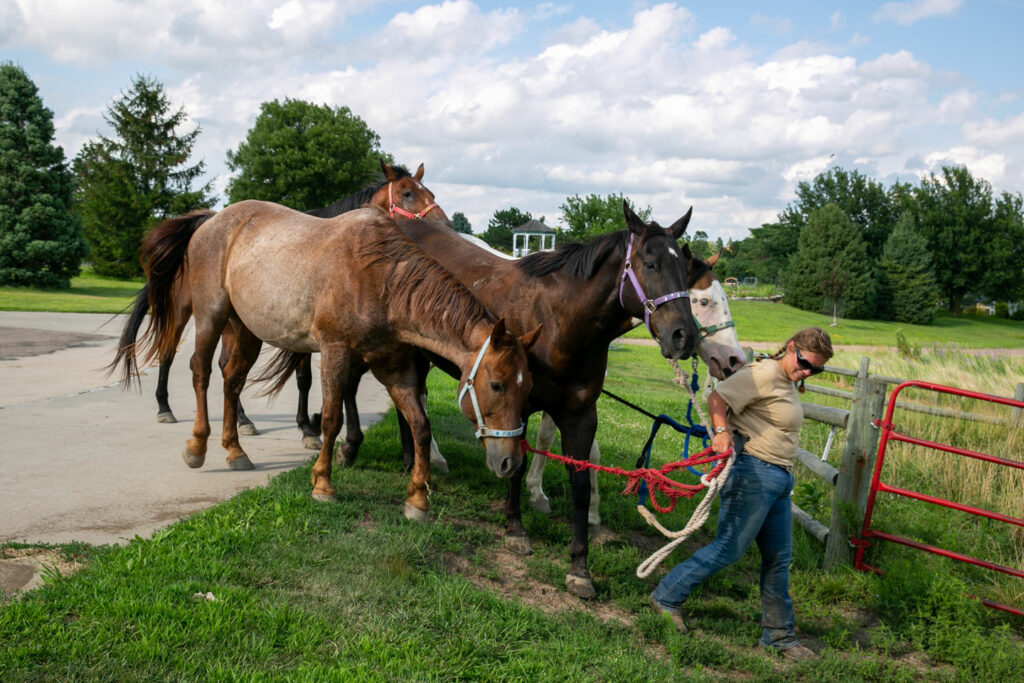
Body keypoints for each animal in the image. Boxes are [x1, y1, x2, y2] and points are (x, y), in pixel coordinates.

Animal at [112, 159, 448, 448]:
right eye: (407, 193)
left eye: (430, 193)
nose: (444, 226)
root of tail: (205, 225)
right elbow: (304, 379)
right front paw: (308, 428)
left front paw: (313, 424)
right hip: (186, 312)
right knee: (168, 353)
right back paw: (164, 407)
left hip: (234, 323)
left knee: (225, 366)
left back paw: (243, 420)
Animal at [116, 202, 540, 518]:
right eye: (496, 385)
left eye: (527, 390)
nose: (509, 463)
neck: (382, 279)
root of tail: (212, 220)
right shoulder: (336, 353)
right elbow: (332, 419)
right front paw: (323, 483)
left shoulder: (394, 367)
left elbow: (420, 425)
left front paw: (417, 500)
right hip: (209, 316)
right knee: (200, 372)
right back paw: (197, 447)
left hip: (247, 330)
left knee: (232, 380)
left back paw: (235, 450)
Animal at [339, 202, 700, 598]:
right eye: (650, 265)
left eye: (686, 271)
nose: (684, 336)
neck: (560, 320)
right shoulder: (518, 408)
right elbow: (517, 463)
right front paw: (515, 528)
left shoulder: (581, 414)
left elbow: (580, 485)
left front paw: (579, 566)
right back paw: (357, 449)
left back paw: (412, 462)